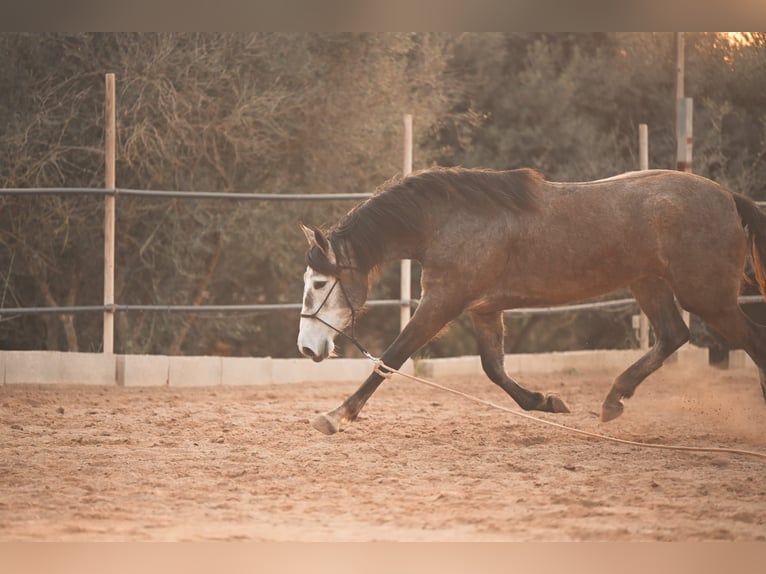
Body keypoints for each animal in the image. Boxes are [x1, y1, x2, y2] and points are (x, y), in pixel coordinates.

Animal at [296, 166, 766, 436]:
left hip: (708, 296)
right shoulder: (483, 309)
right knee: (673, 335)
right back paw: (614, 399)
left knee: (751, 340)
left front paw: (337, 414)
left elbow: (392, 356)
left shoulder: (442, 302)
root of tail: (729, 198)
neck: (446, 221)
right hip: (650, 284)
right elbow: (494, 369)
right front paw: (547, 402)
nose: (306, 348)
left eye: (318, 283)